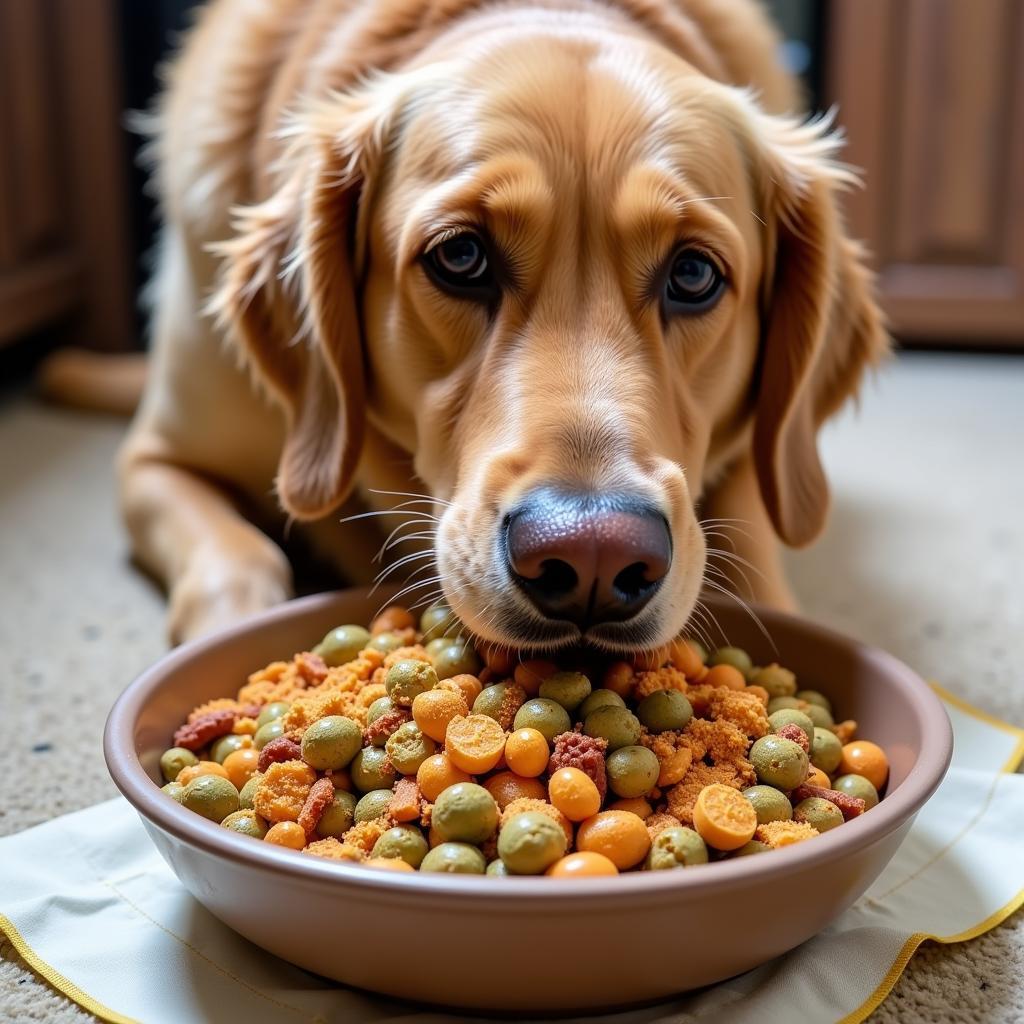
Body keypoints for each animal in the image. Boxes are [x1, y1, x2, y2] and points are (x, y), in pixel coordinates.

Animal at [119, 0, 888, 651]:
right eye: (461, 256)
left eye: (694, 274)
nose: (594, 552)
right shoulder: (156, 461)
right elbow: (238, 560)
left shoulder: (763, 471)